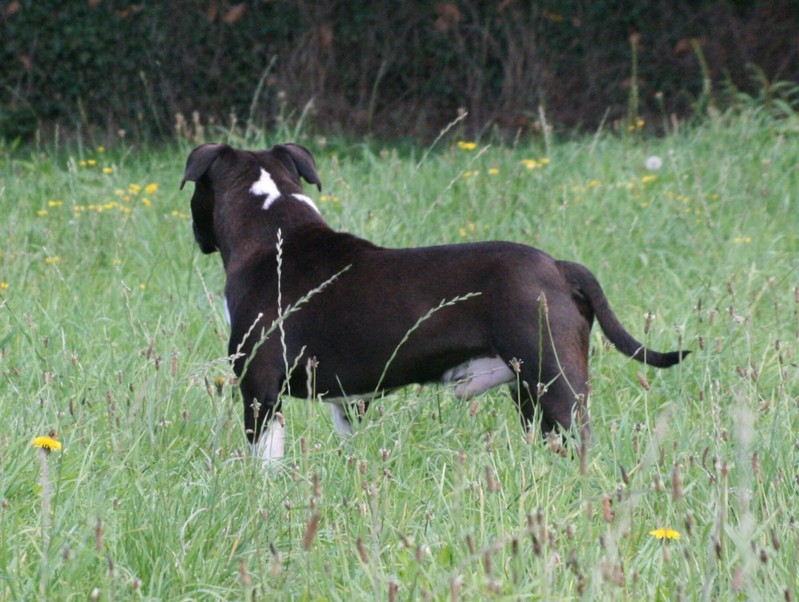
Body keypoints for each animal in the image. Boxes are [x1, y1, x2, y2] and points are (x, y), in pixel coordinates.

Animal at [183, 142, 688, 460]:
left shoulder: (260, 389)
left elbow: (264, 460)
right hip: (531, 391)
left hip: (556, 384)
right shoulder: (347, 401)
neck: (275, 233)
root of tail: (560, 268)